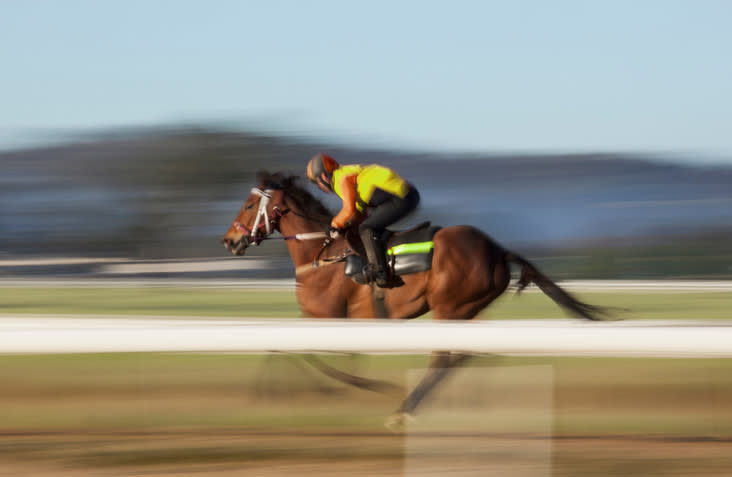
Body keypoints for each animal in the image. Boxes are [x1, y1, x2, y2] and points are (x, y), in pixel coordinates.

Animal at [220, 171, 608, 428]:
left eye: (249, 203)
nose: (229, 241)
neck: (322, 253)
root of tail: (498, 249)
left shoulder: (327, 318)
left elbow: (301, 353)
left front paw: (362, 386)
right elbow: (281, 347)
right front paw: (268, 393)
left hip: (449, 308)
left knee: (445, 358)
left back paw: (405, 410)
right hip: (466, 310)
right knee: (471, 353)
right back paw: (461, 402)